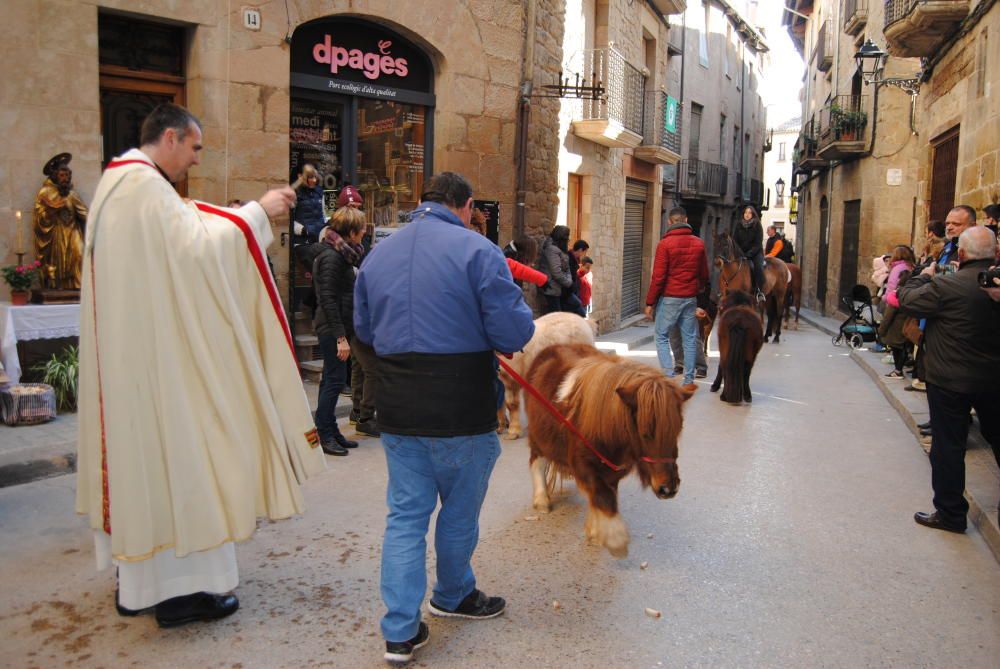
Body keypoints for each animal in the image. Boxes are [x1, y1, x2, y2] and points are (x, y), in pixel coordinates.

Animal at [524, 342, 696, 556]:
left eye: (678, 429)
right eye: (645, 433)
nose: (668, 488)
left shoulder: (612, 472)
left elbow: (602, 497)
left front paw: (595, 532)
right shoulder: (585, 467)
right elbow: (603, 498)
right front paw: (615, 540)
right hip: (538, 437)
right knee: (536, 461)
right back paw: (541, 500)